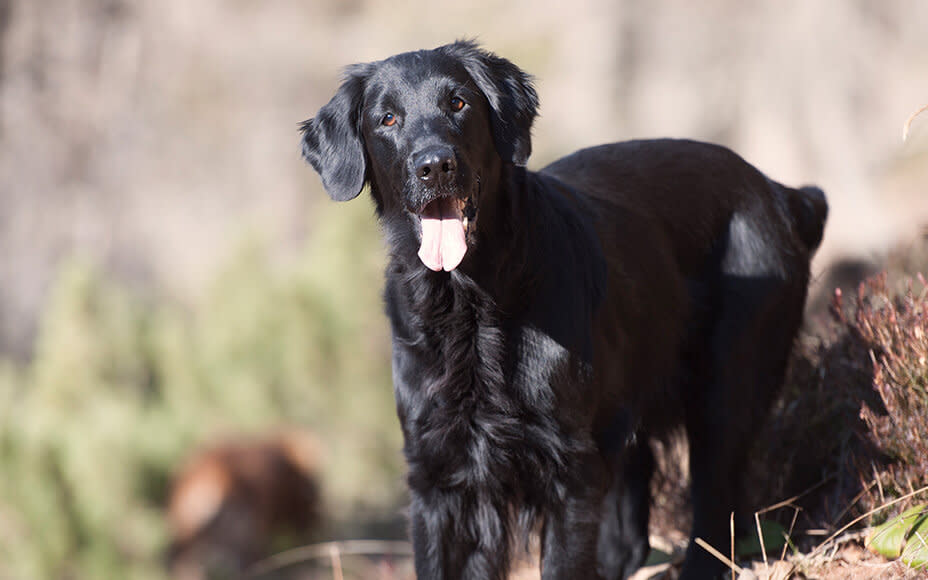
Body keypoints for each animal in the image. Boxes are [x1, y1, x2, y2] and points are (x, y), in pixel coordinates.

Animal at [300, 42, 828, 580]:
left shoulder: (568, 470)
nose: (435, 165)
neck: (473, 305)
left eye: (458, 103)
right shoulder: (438, 475)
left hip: (725, 391)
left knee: (714, 512)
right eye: (387, 118)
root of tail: (778, 192)